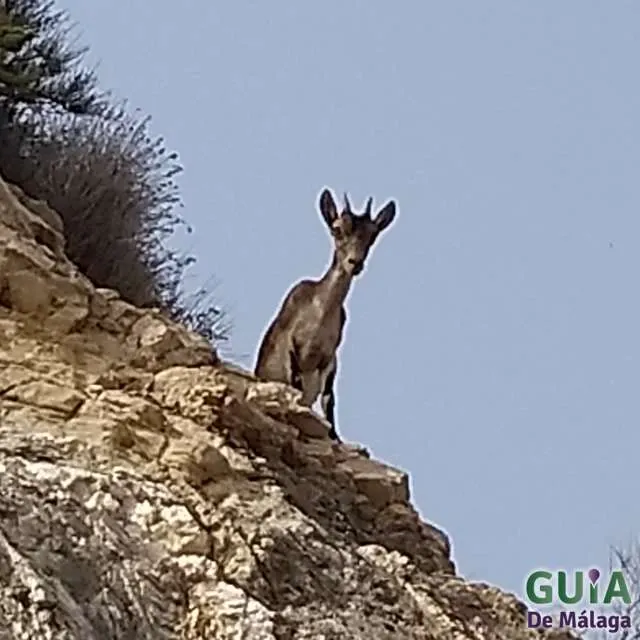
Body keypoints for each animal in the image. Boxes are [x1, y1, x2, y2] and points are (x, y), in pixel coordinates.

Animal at [254, 187, 397, 442]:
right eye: (337, 229)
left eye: (372, 235)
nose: (354, 263)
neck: (320, 312)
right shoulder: (292, 347)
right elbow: (296, 387)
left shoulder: (330, 357)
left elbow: (329, 400)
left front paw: (335, 437)